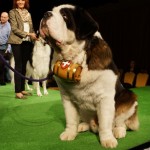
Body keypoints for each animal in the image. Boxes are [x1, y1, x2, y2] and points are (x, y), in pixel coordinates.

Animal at [39, 3, 139, 149]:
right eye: (52, 11)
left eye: (65, 16)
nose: (46, 14)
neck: (77, 57)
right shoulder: (67, 98)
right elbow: (70, 119)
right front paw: (70, 133)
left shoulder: (105, 99)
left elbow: (105, 123)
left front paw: (107, 139)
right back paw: (83, 125)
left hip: (129, 97)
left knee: (121, 121)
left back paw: (118, 131)